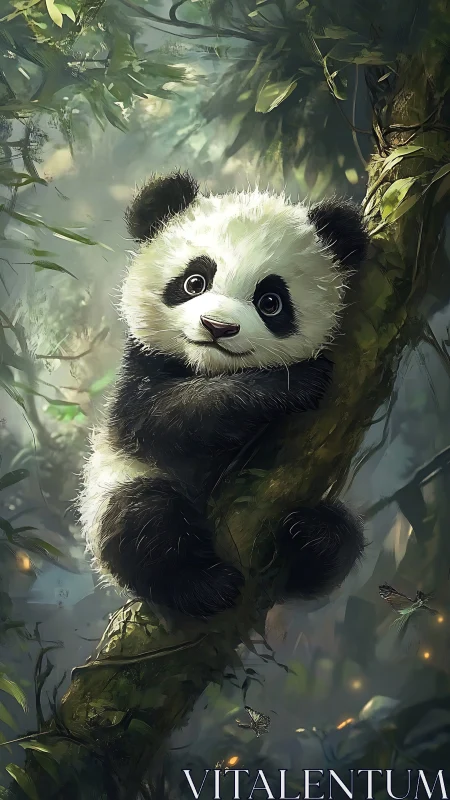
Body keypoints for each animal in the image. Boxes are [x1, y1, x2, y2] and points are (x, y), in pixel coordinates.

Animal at [79, 171, 368, 618]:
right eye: (194, 281)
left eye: (271, 302)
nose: (218, 327)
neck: (209, 367)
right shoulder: (139, 378)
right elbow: (166, 419)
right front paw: (290, 384)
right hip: (114, 481)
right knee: (142, 519)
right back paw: (203, 585)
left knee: (340, 543)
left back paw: (314, 539)